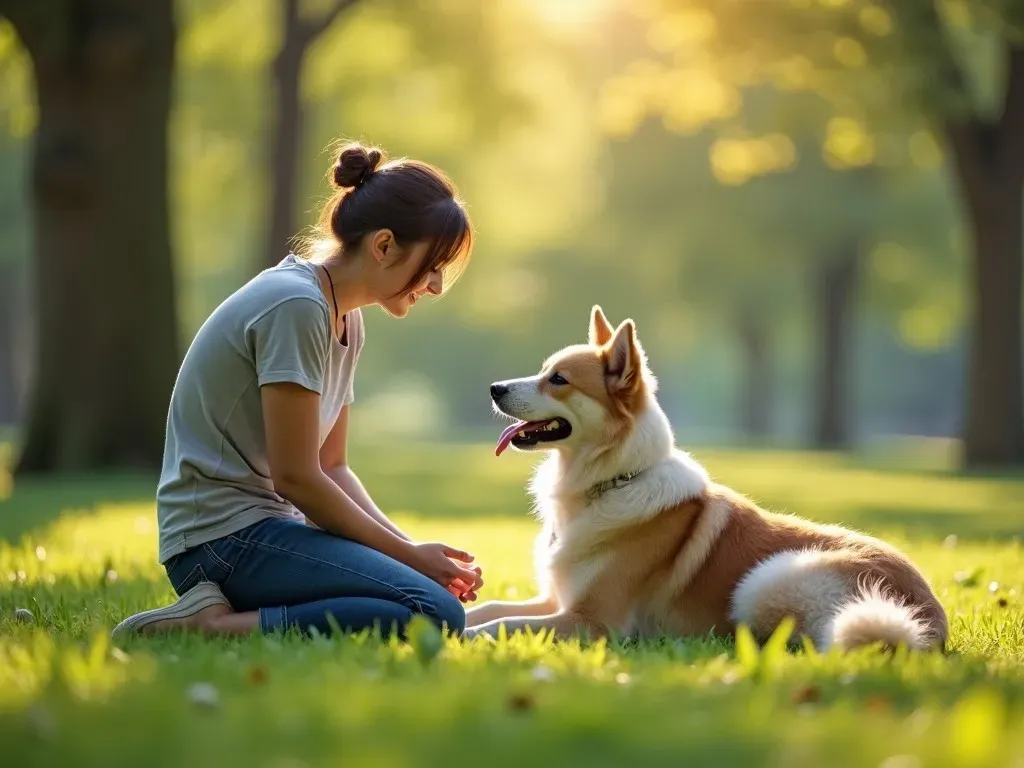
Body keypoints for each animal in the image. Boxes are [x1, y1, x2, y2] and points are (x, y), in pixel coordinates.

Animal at [460, 307, 946, 655]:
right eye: (543, 370)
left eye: (557, 379)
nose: (494, 388)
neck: (615, 480)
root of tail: (928, 621)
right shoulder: (555, 601)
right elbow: (491, 608)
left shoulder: (592, 621)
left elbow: (502, 623)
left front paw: (461, 636)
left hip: (769, 579)